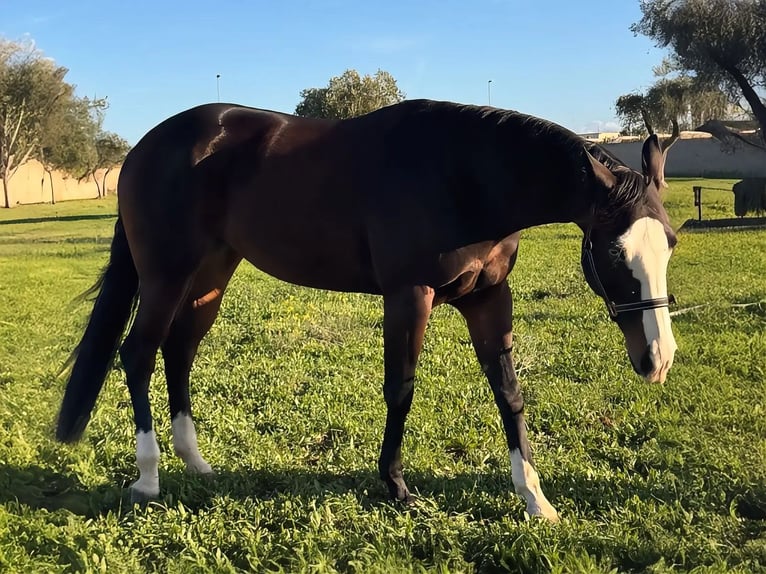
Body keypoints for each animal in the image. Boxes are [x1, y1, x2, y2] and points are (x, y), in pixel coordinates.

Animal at [55, 99, 678, 522]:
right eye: (614, 252)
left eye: (670, 243)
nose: (659, 359)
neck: (464, 174)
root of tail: (145, 148)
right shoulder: (409, 294)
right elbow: (400, 388)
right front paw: (397, 487)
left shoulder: (487, 298)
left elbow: (509, 392)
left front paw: (535, 498)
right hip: (166, 275)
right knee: (137, 354)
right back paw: (148, 478)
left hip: (210, 274)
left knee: (178, 350)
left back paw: (196, 463)